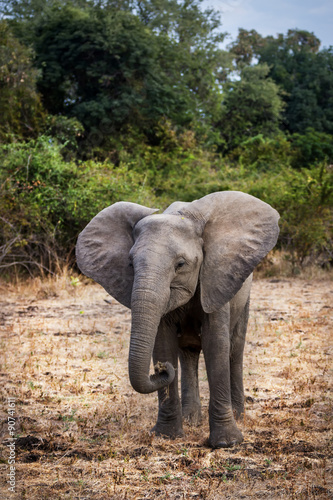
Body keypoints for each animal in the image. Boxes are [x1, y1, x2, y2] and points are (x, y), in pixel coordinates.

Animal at [75, 191, 278, 450]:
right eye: (130, 264)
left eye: (180, 264)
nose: (161, 370)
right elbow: (163, 343)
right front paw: (168, 436)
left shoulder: (215, 278)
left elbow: (216, 345)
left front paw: (226, 443)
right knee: (188, 352)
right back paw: (192, 420)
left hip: (244, 293)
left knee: (235, 348)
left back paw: (238, 416)